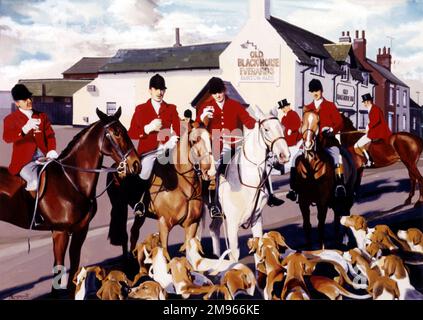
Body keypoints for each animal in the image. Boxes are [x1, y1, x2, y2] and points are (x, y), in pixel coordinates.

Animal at [0, 109, 142, 296]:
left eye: (125, 130)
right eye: (117, 133)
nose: (136, 164)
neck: (71, 181)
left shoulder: (81, 231)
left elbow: (74, 266)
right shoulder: (60, 232)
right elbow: (59, 268)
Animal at [107, 122, 215, 260]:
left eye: (211, 139)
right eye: (194, 141)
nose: (209, 171)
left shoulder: (192, 224)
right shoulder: (164, 224)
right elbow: (165, 253)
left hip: (141, 214)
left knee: (134, 231)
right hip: (120, 207)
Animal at [208, 105, 292, 264]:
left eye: (282, 128)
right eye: (266, 129)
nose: (285, 155)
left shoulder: (257, 219)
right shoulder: (232, 224)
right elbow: (234, 255)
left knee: (213, 229)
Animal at [294, 110, 358, 248]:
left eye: (318, 122)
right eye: (302, 121)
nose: (308, 144)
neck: (312, 167)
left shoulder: (322, 201)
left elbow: (321, 225)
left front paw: (322, 247)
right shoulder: (303, 201)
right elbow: (307, 225)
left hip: (347, 196)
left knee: (345, 216)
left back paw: (344, 241)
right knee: (337, 219)